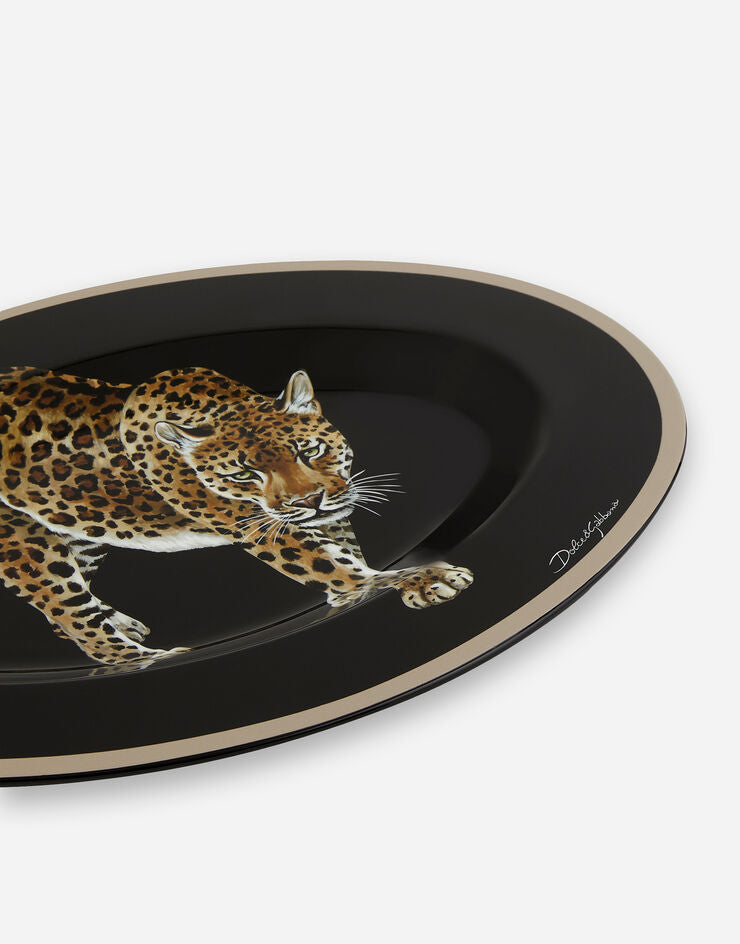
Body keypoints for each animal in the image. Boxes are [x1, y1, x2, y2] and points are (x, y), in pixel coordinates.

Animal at [0, 365, 473, 666]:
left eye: (309, 451)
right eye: (244, 473)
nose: (309, 501)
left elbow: (346, 553)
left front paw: (352, 595)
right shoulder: (262, 528)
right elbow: (335, 566)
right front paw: (420, 580)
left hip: (78, 529)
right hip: (25, 545)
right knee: (72, 616)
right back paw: (153, 659)